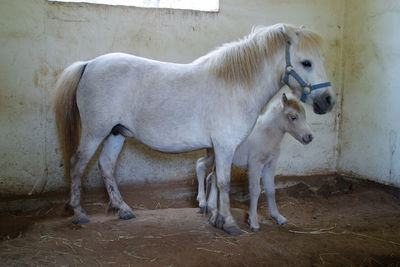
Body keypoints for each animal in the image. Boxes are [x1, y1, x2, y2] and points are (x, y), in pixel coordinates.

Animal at [197, 93, 312, 231]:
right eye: (293, 117)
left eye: (305, 115)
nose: (309, 137)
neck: (266, 135)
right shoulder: (255, 164)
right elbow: (255, 190)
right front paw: (254, 222)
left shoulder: (270, 165)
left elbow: (270, 190)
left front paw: (278, 217)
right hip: (214, 157)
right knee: (201, 166)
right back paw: (203, 203)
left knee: (212, 177)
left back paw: (211, 209)